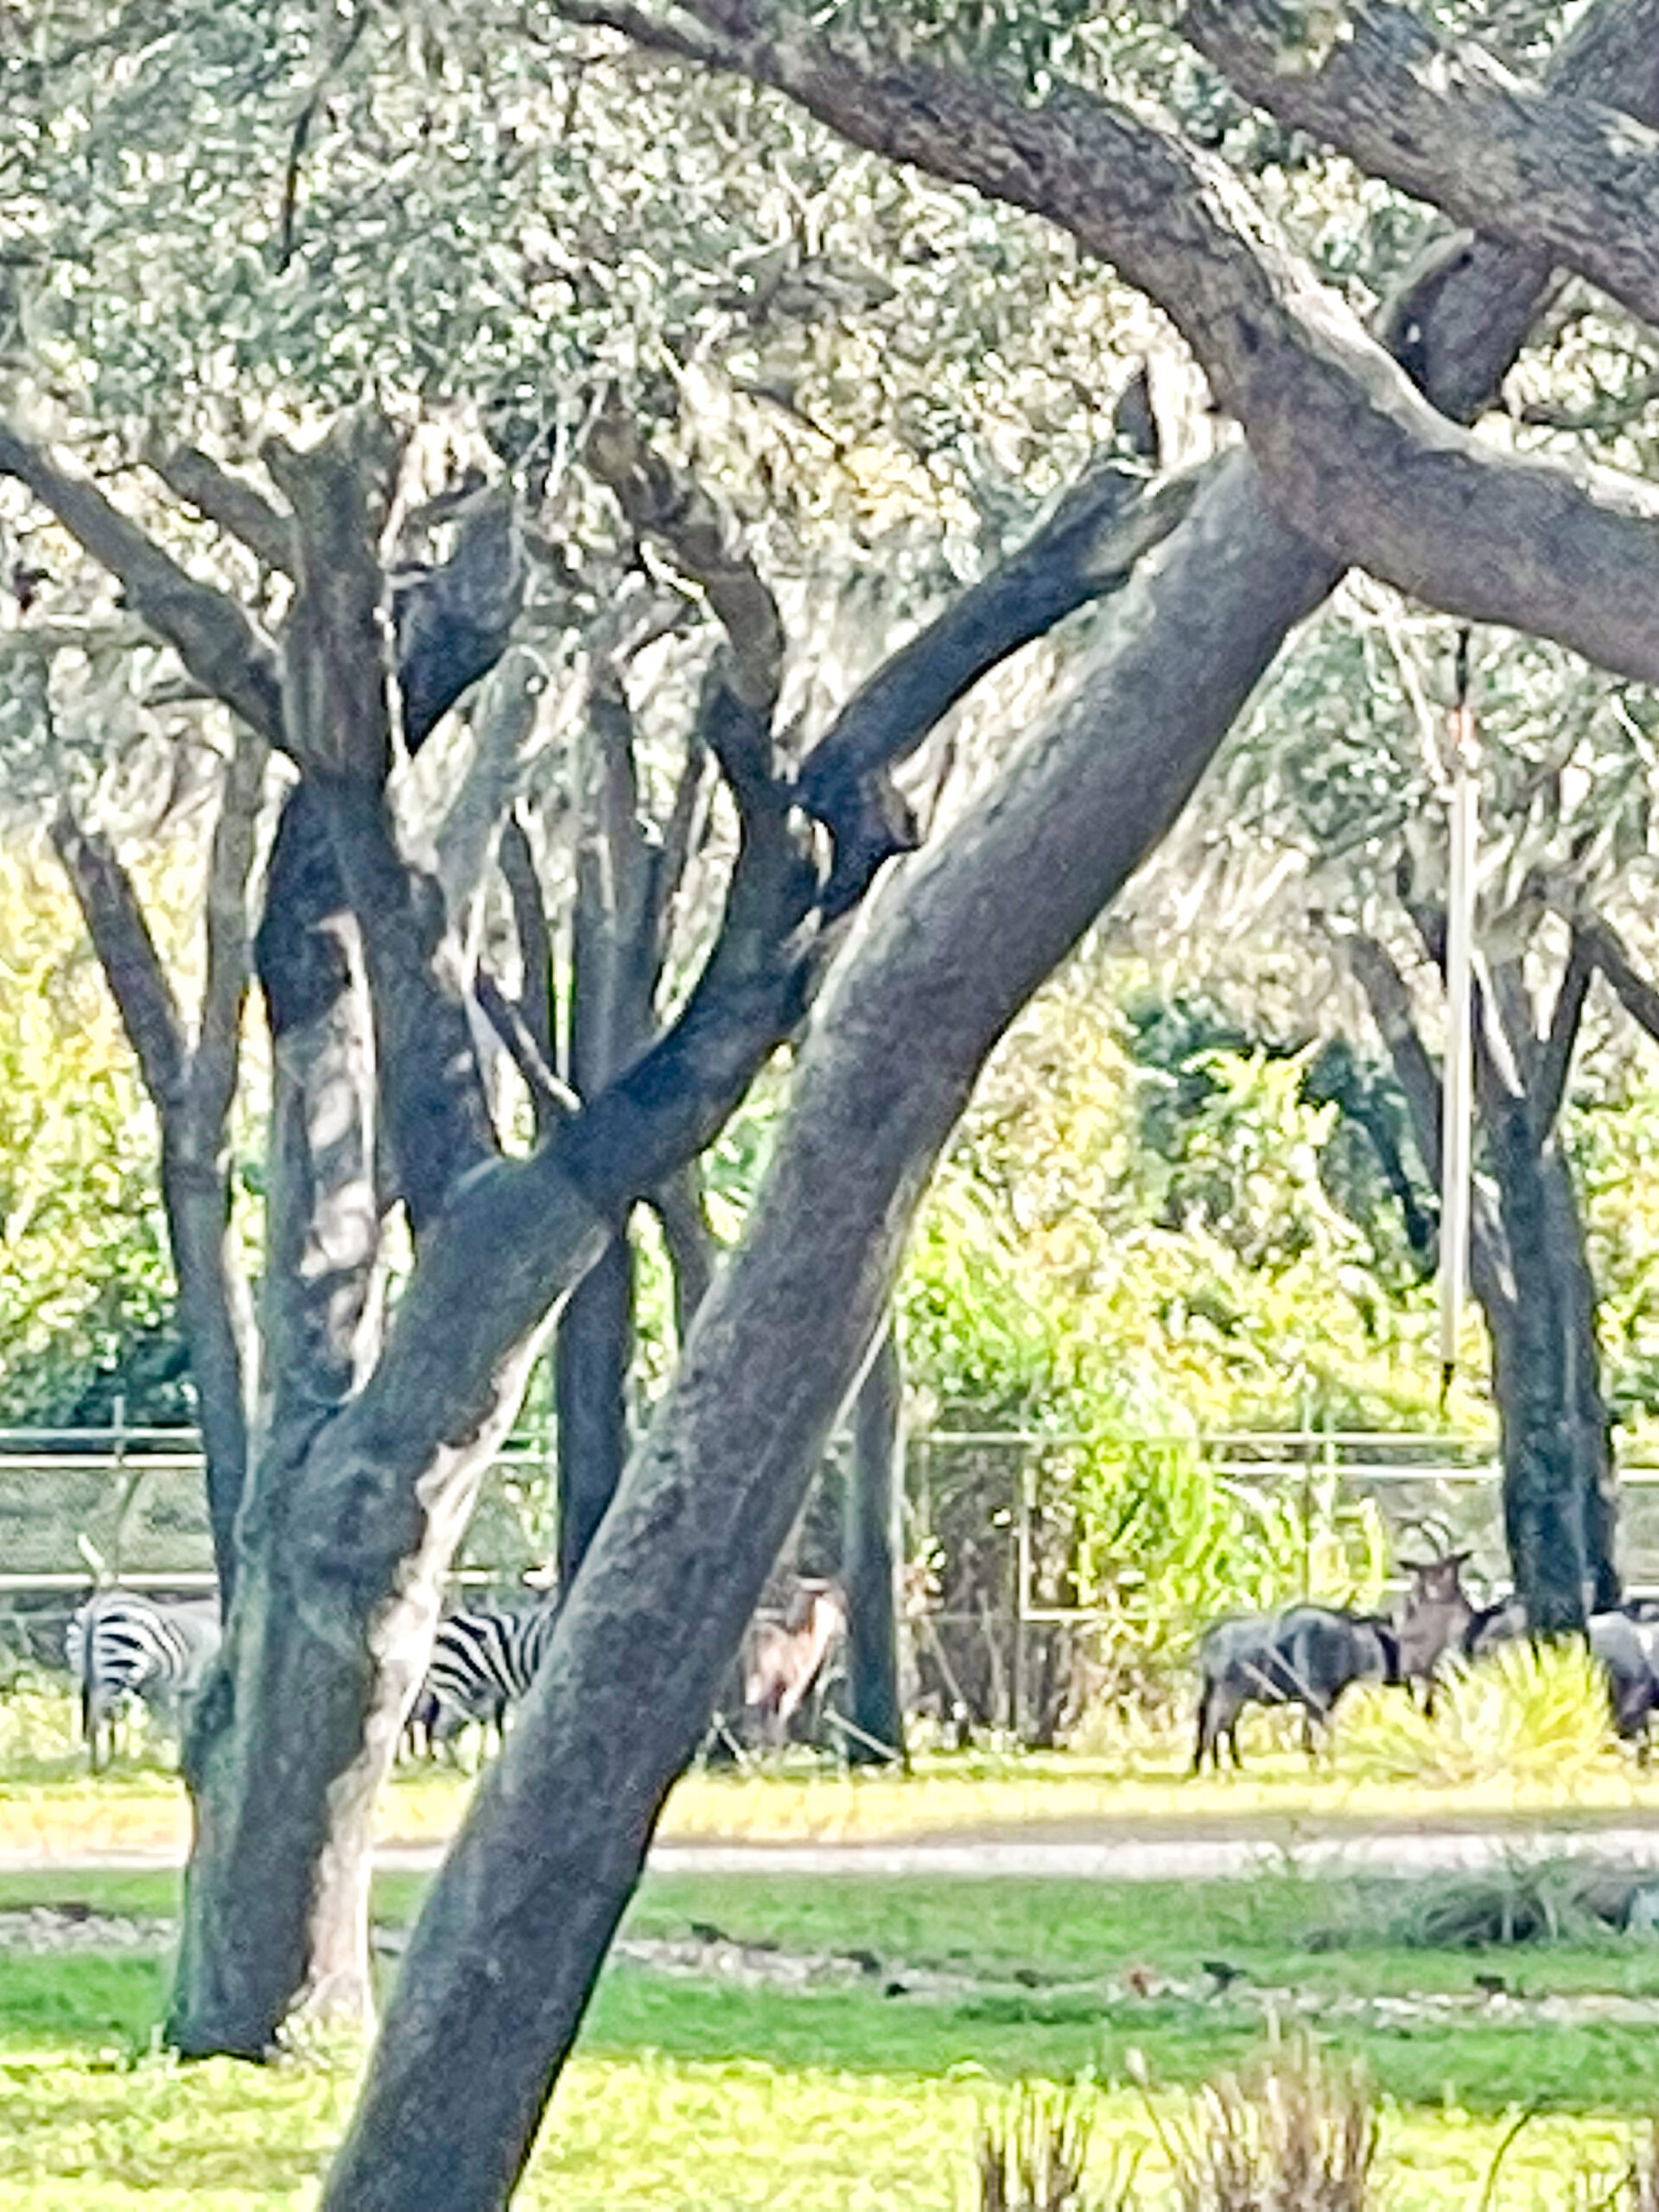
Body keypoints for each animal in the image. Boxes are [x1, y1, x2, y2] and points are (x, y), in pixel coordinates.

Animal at [65, 1583, 222, 1770]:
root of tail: (97, 1606)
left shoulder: (164, 1690)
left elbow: (167, 1722)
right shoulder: (193, 1687)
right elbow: (179, 1724)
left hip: (89, 1671)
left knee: (100, 1716)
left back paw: (104, 1761)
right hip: (115, 1673)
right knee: (104, 1716)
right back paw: (103, 1765)